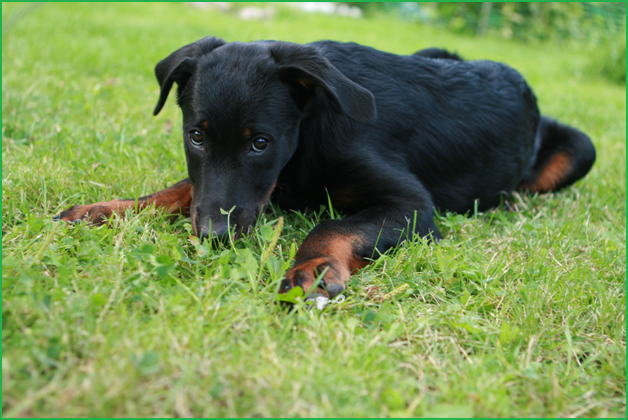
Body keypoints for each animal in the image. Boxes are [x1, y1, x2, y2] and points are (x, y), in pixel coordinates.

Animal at [56, 35, 596, 298]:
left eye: (261, 142)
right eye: (195, 135)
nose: (212, 238)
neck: (311, 125)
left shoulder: (412, 206)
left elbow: (333, 224)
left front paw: (312, 269)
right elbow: (184, 188)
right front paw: (107, 209)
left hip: (582, 148)